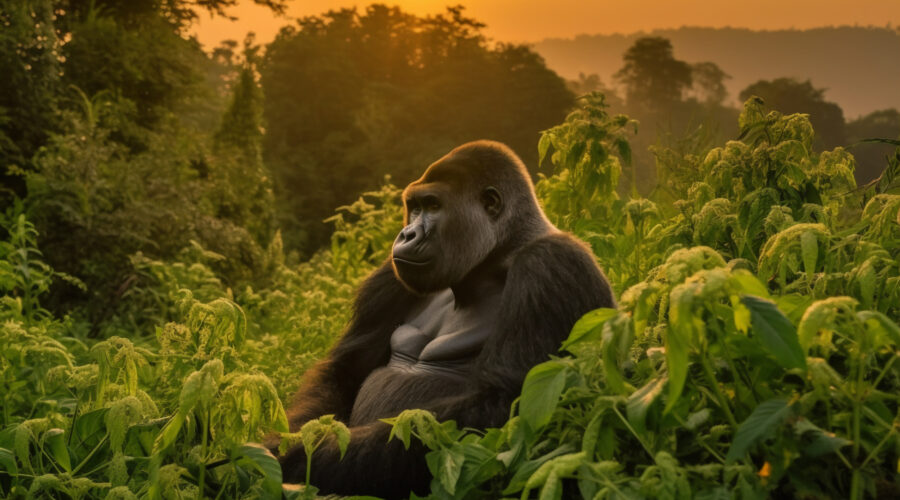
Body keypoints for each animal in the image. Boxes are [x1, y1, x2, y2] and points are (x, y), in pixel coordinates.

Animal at [280, 140, 620, 496]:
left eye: (433, 205)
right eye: (414, 207)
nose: (407, 234)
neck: (502, 251)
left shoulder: (550, 265)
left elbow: (505, 406)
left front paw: (306, 457)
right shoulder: (389, 276)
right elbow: (344, 370)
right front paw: (291, 441)